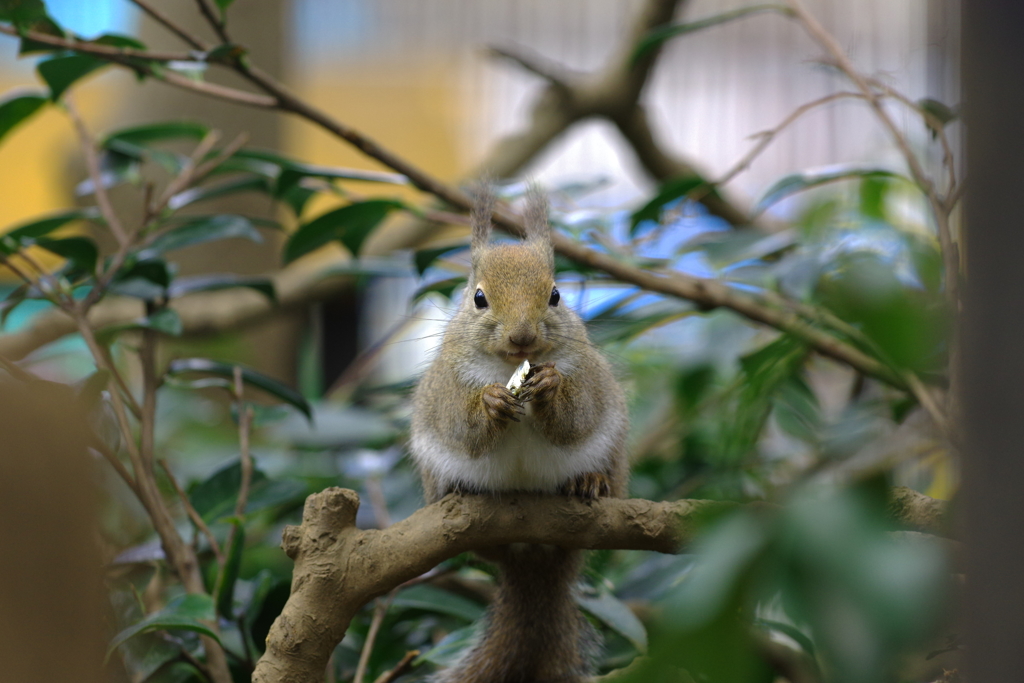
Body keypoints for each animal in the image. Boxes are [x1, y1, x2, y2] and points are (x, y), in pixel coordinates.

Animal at [411, 184, 626, 679]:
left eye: (556, 295)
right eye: (478, 298)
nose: (523, 337)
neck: (511, 367)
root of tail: (532, 558)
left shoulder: (587, 379)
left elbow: (576, 419)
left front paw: (550, 388)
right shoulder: (448, 388)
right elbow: (462, 427)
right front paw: (490, 405)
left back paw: (591, 482)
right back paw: (459, 490)